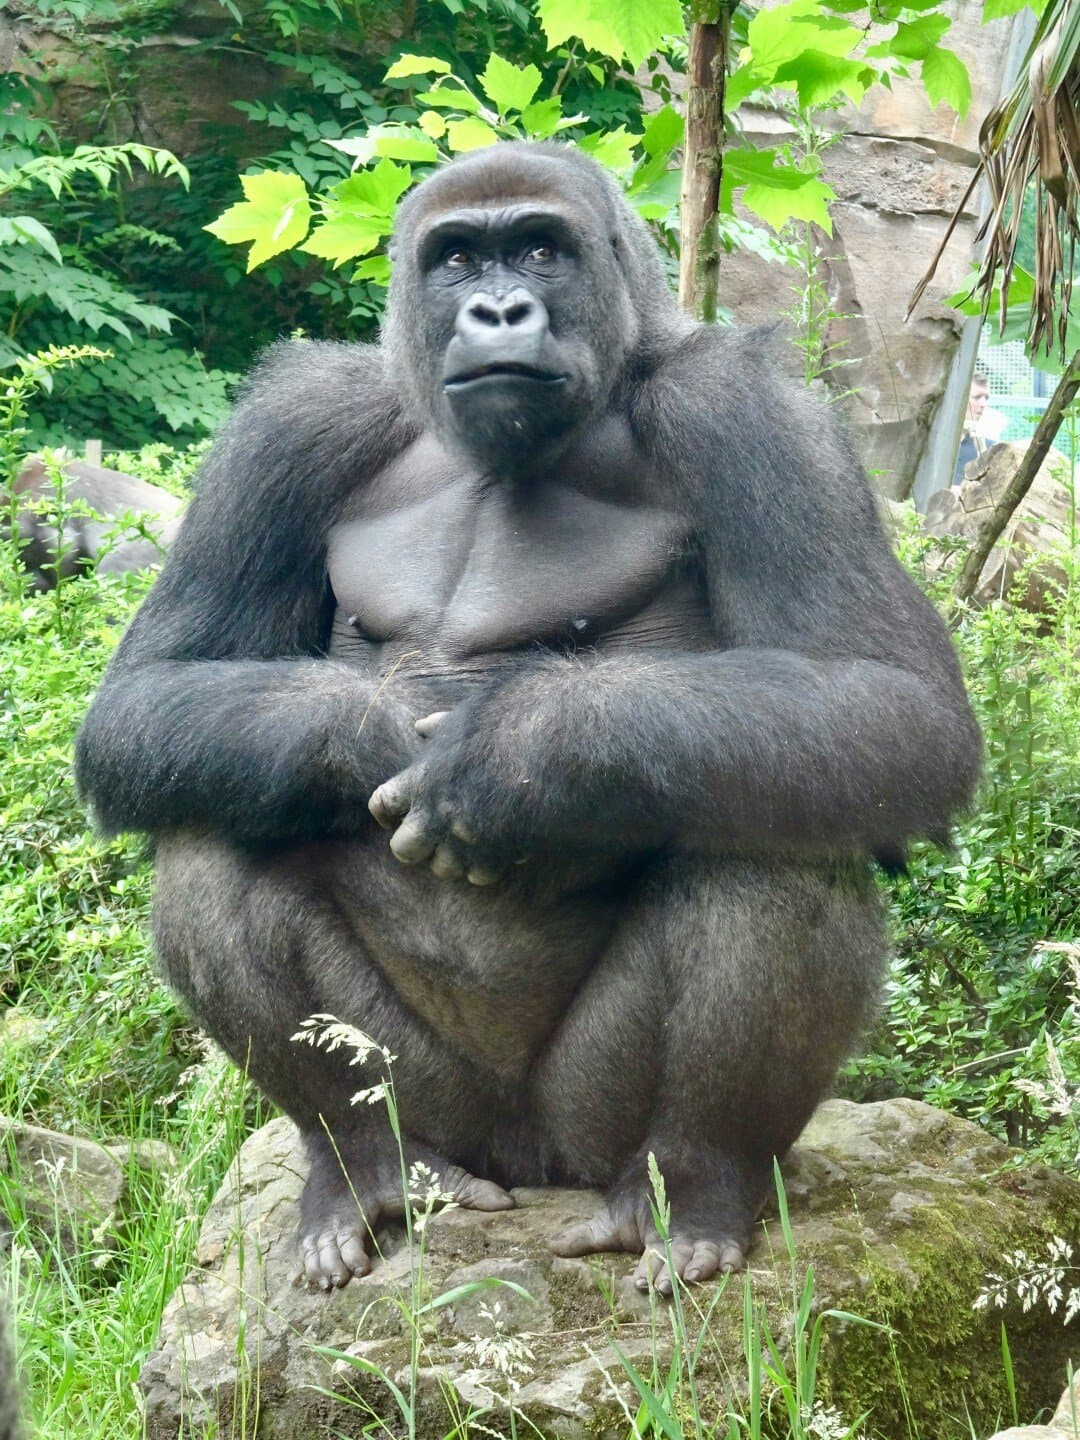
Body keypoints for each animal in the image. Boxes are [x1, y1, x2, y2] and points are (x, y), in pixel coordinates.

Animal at [75, 142, 981, 1294]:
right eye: (458, 259)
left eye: (542, 251)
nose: (499, 310)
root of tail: (524, 1160)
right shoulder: (297, 424)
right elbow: (146, 698)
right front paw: (368, 736)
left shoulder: (750, 414)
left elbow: (893, 707)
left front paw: (517, 758)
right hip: (442, 1110)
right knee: (217, 828)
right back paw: (361, 1164)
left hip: (583, 1124)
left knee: (775, 829)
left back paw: (691, 1185)